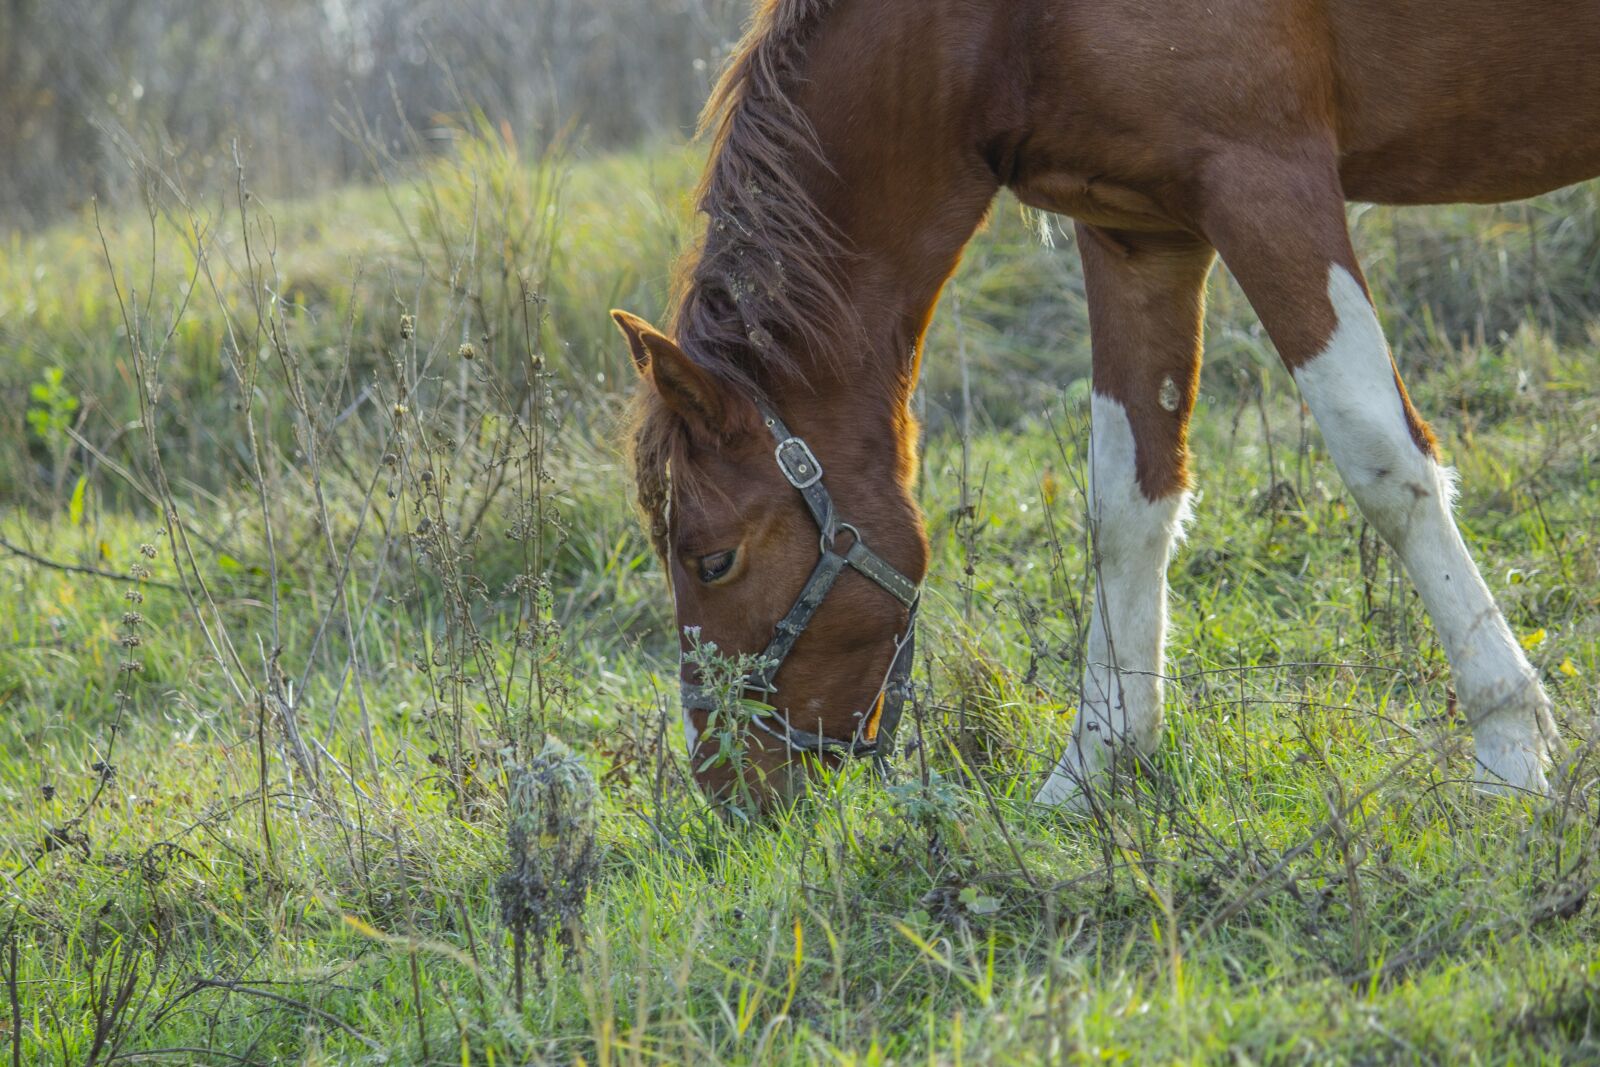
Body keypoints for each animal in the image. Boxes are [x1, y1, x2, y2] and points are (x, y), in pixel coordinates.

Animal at [604, 0, 1593, 809]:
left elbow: (1382, 458)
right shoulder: (1138, 231)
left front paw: (1508, 747)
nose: (730, 791)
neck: (1005, 26)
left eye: (713, 560)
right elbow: (1128, 501)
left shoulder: (1267, 182)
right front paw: (1095, 765)